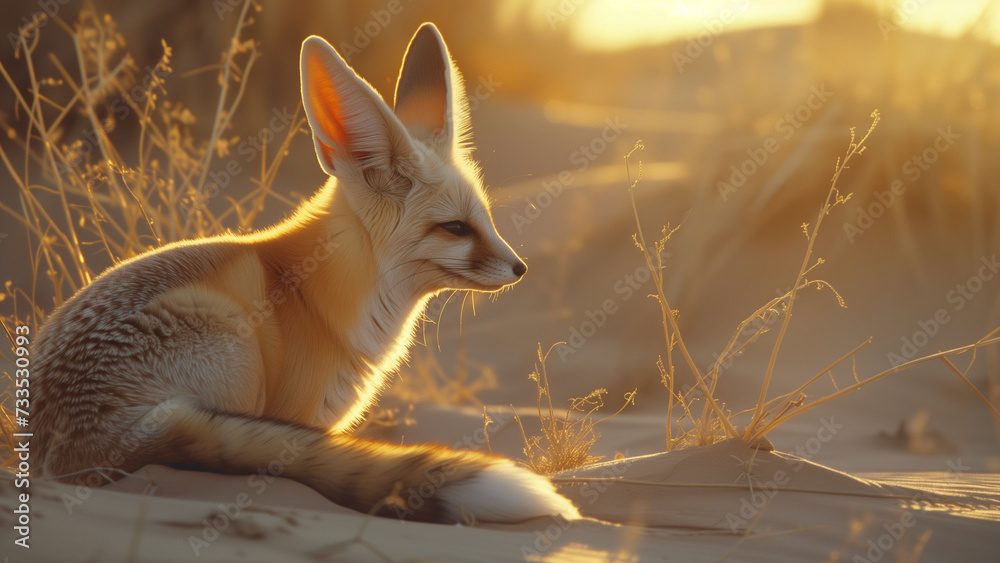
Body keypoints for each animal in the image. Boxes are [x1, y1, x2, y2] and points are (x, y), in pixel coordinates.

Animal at [30, 23, 580, 524]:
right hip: (236, 351)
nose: (520, 268)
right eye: (455, 228)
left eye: (485, 218)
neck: (325, 293)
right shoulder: (297, 415)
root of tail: (56, 446)